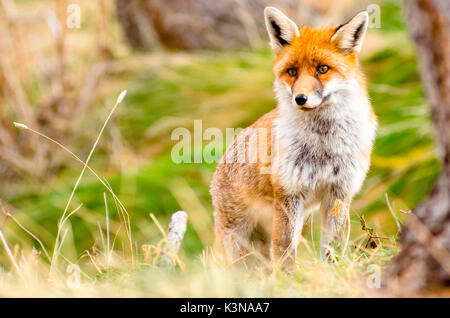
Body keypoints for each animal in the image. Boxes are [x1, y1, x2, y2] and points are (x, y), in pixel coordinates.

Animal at [210, 6, 376, 266]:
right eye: (292, 72)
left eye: (322, 69)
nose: (300, 98)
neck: (323, 145)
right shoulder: (289, 193)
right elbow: (285, 251)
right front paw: (288, 276)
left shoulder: (339, 192)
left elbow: (334, 246)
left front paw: (332, 269)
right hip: (238, 239)